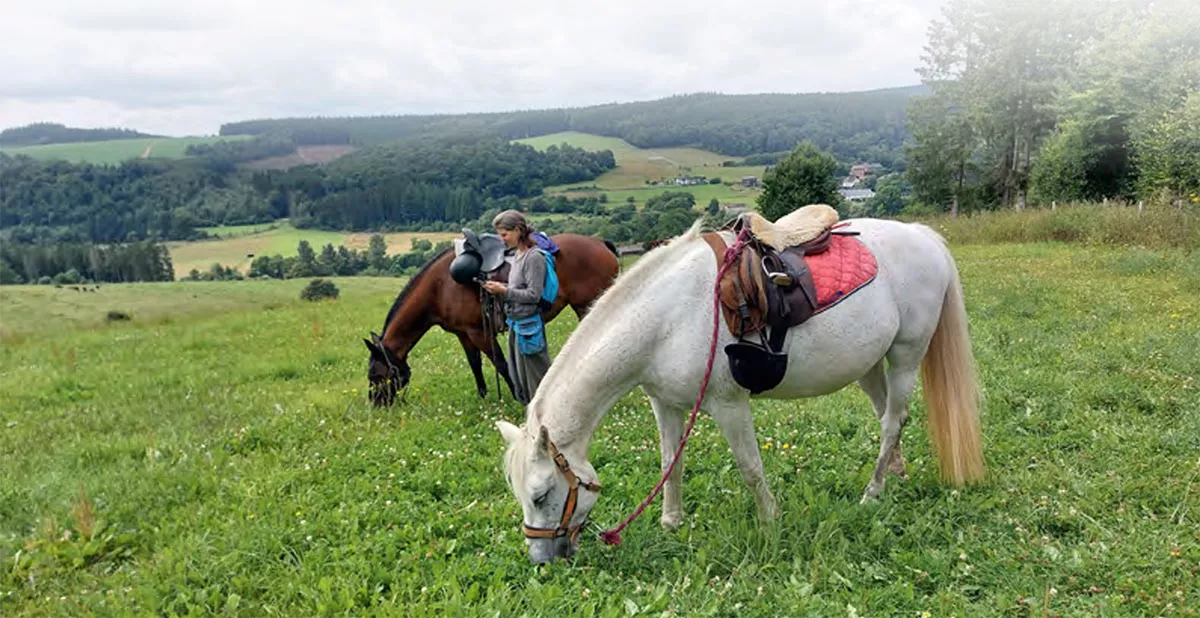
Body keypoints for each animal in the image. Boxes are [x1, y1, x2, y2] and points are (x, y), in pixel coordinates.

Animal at [364, 233, 620, 407]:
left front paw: (519, 397)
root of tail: (600, 243)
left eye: (376, 375)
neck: (440, 286)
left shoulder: (479, 332)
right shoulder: (464, 334)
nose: (376, 405)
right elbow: (474, 364)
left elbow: (501, 363)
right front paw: (483, 396)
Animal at [496, 218, 985, 563]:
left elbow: (750, 467)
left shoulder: (728, 404)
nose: (541, 559)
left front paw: (770, 522)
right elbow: (670, 464)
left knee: (890, 421)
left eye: (540, 495)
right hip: (869, 363)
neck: (665, 318)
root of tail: (923, 235)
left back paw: (873, 493)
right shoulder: (665, 404)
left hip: (906, 355)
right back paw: (895, 473)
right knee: (890, 416)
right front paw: (671, 523)